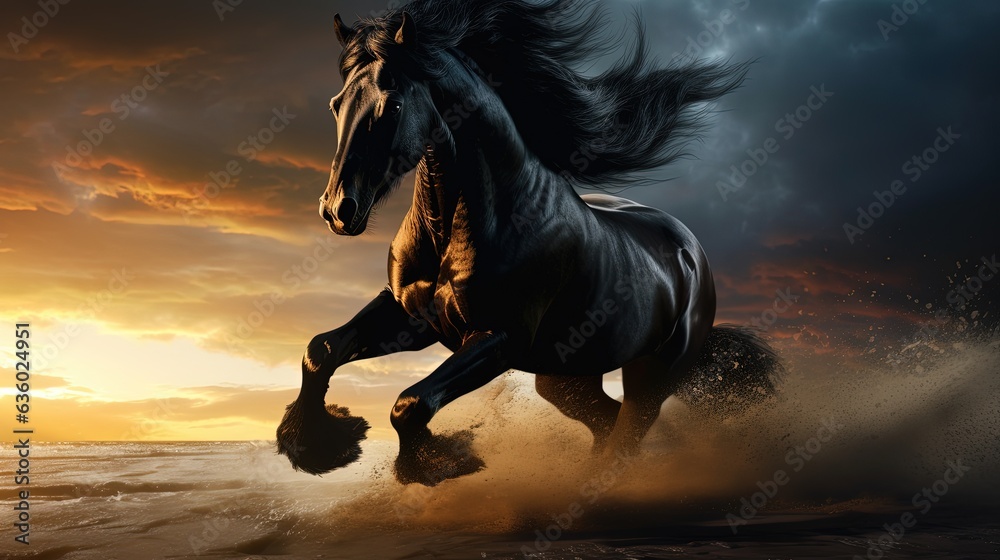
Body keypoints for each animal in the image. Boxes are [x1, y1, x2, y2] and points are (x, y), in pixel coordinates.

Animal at [276, 0, 781, 486]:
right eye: (336, 104)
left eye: (393, 106)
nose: (337, 210)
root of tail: (693, 257)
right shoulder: (410, 316)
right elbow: (320, 351)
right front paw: (316, 447)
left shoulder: (499, 338)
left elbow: (410, 403)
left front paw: (443, 463)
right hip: (566, 379)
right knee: (608, 425)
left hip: (650, 377)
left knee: (627, 435)